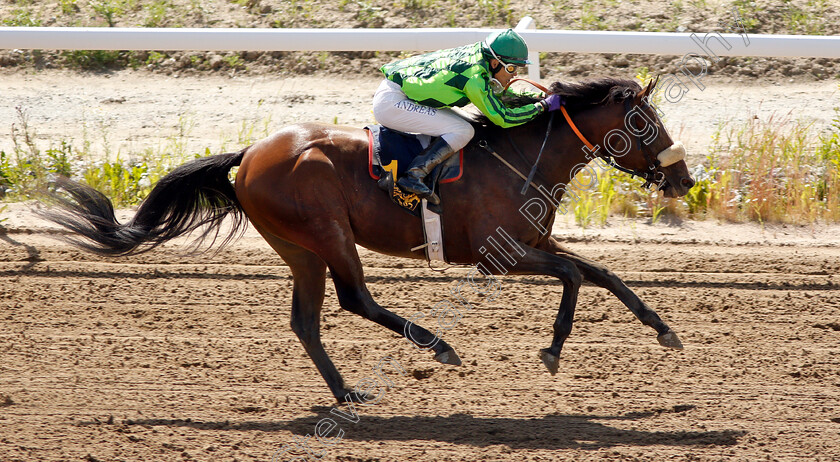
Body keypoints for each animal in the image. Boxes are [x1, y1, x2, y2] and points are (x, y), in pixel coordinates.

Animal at [41, 76, 696, 400]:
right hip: (327, 231)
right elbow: (575, 276)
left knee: (306, 320)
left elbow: (602, 272)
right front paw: (554, 349)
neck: (520, 157)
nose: (685, 179)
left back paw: (347, 393)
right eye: (645, 123)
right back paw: (438, 347)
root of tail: (249, 154)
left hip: (298, 247)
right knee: (354, 298)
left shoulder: (535, 243)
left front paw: (664, 330)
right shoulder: (499, 257)